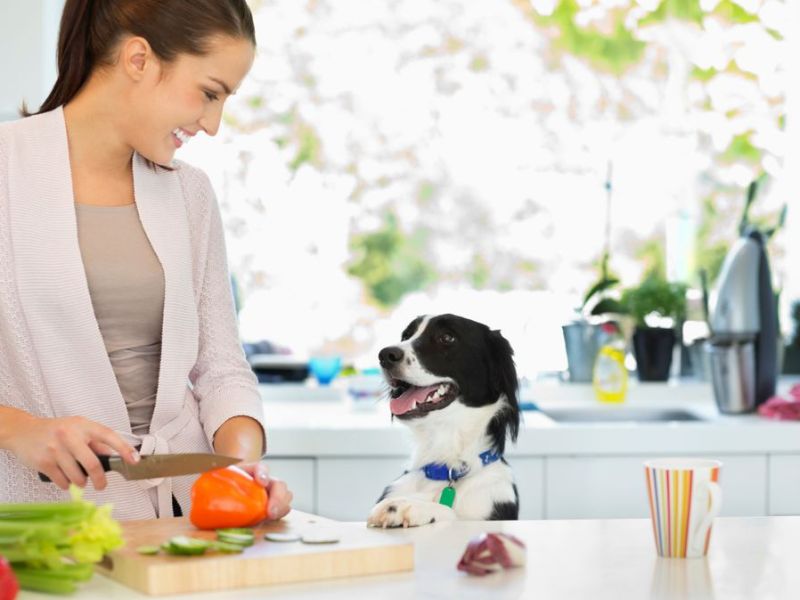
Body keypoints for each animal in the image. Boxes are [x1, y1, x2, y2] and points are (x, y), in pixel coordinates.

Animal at [368, 312, 520, 528]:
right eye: (406, 335)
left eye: (447, 337)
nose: (385, 355)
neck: (446, 466)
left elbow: (453, 515)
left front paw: (406, 506)